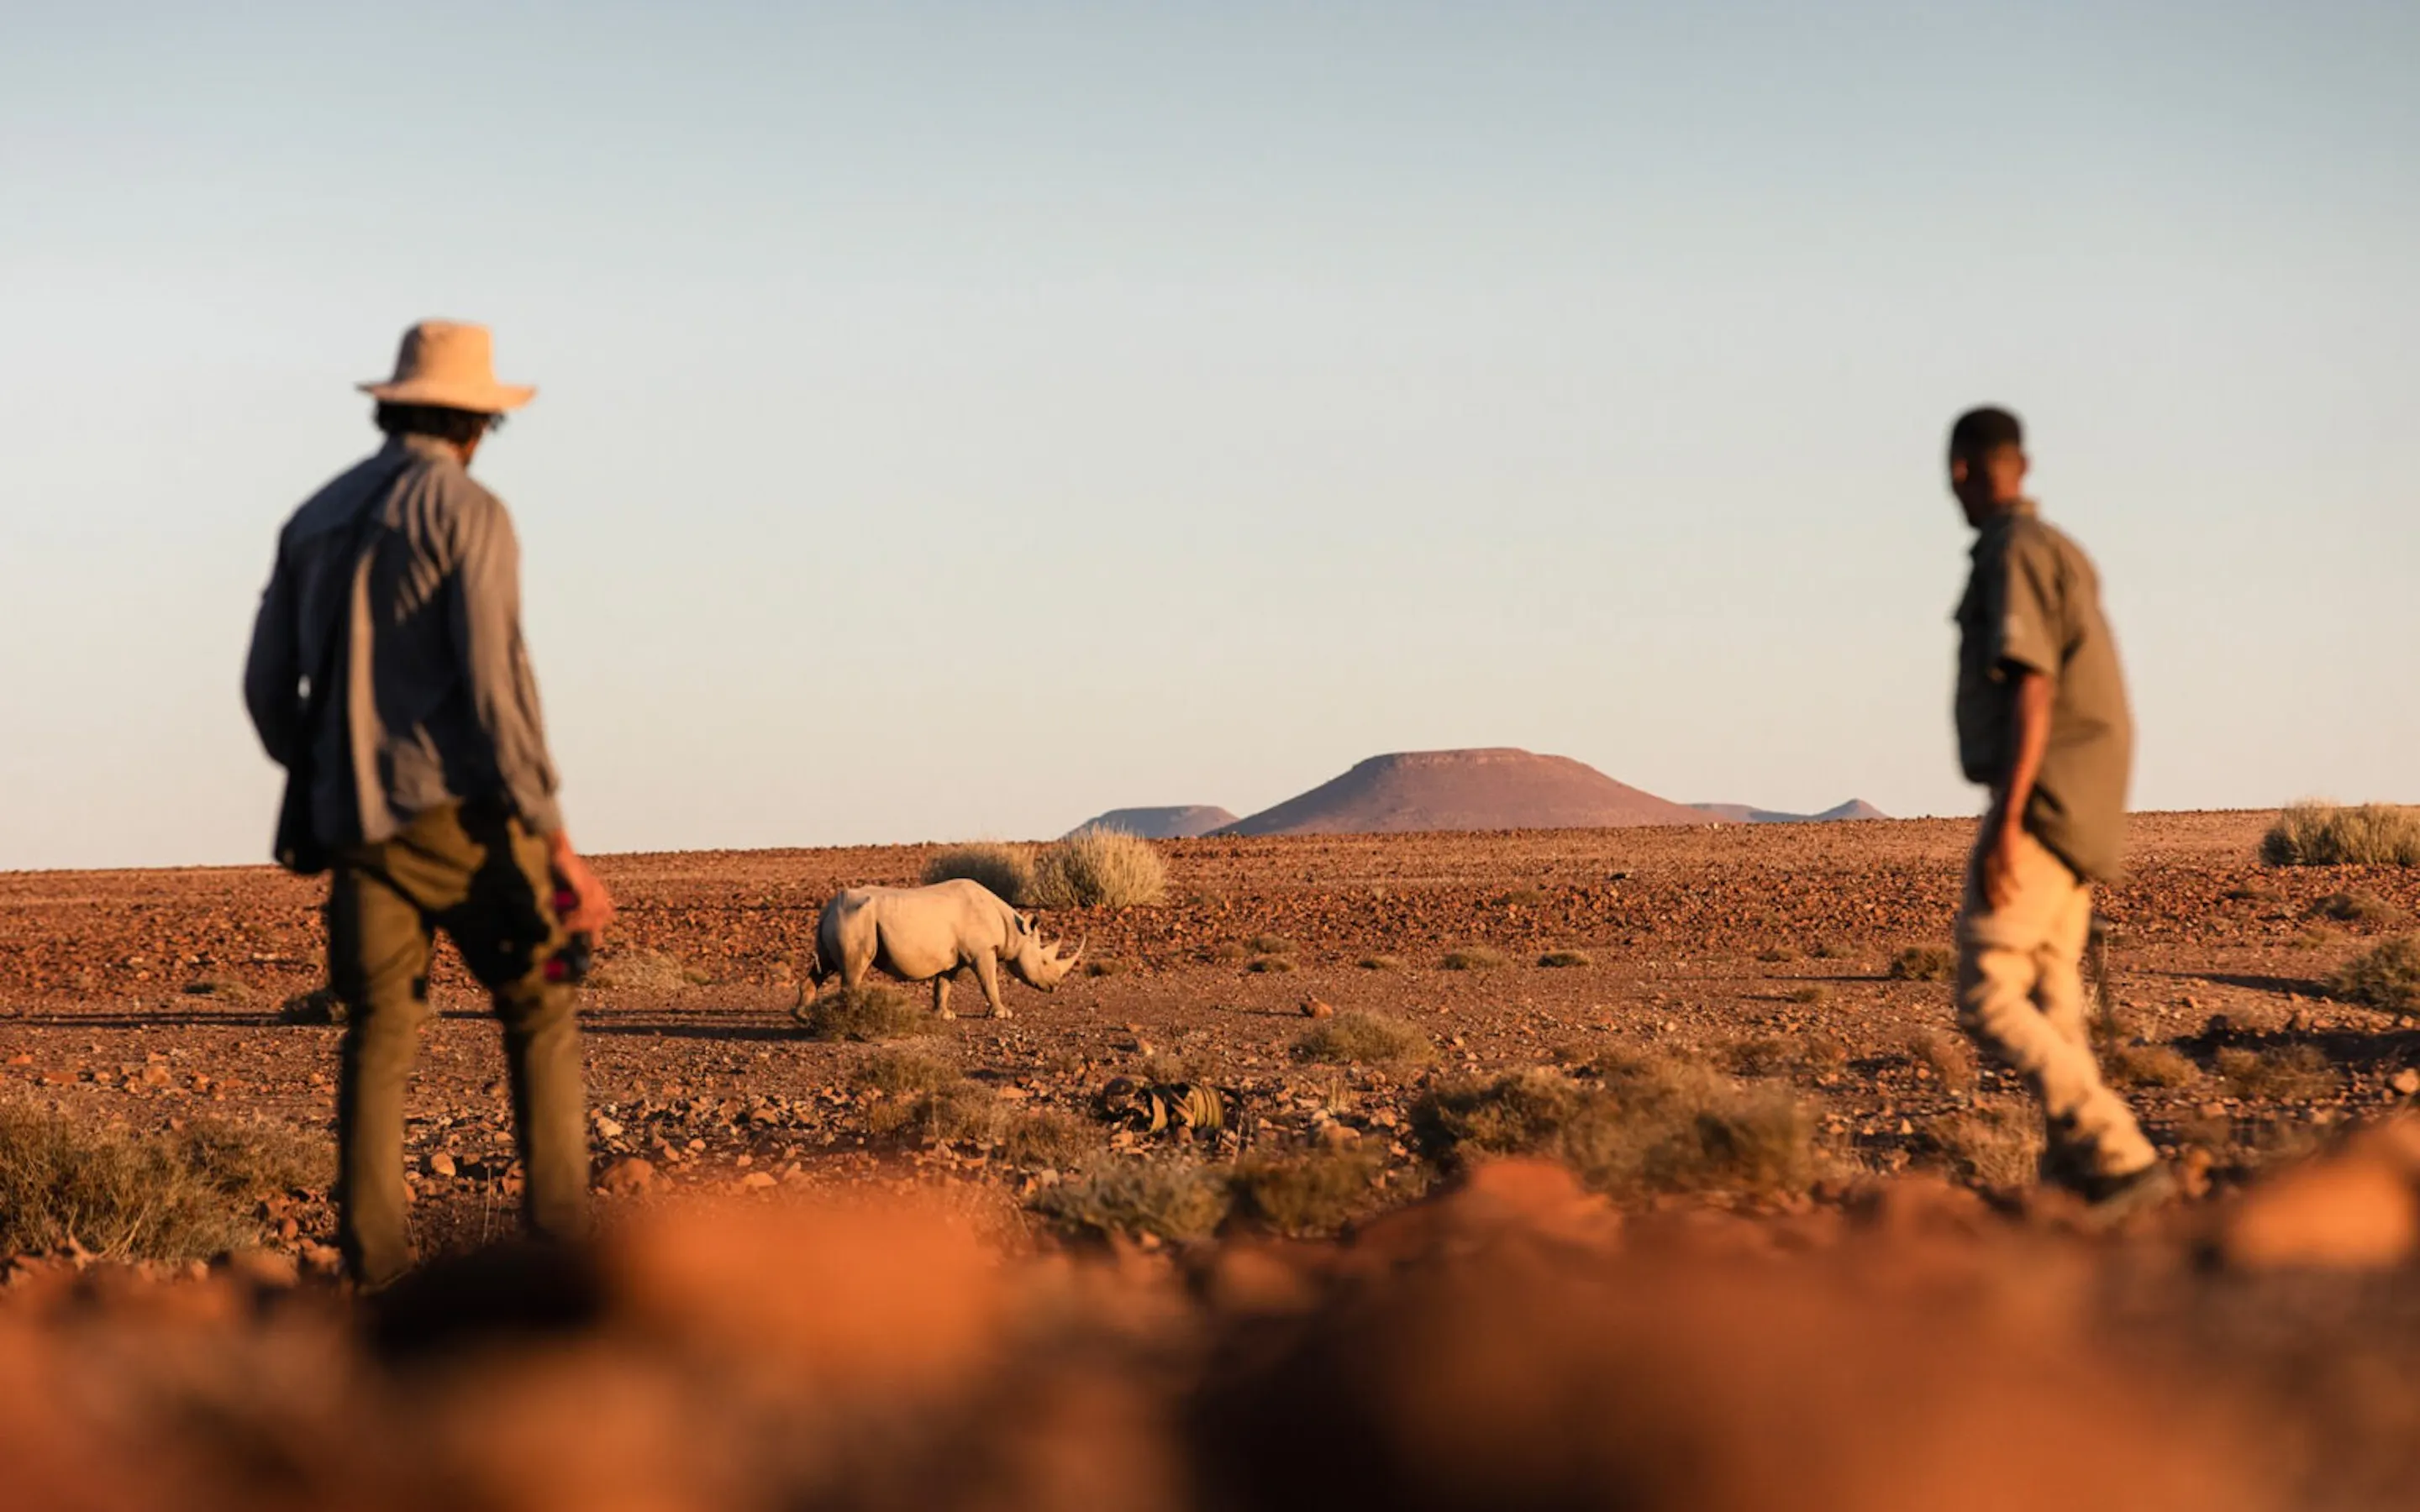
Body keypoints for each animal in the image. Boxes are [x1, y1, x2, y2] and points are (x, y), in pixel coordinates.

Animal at [810, 879, 1083, 1019]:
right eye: (1044, 962)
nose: (1054, 986)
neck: (1013, 930)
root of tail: (828, 907)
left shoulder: (952, 958)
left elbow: (943, 985)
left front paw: (944, 1015)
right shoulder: (982, 951)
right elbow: (989, 982)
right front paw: (1003, 1014)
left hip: (842, 918)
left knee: (823, 968)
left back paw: (804, 1014)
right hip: (855, 918)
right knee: (853, 968)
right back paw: (853, 1014)